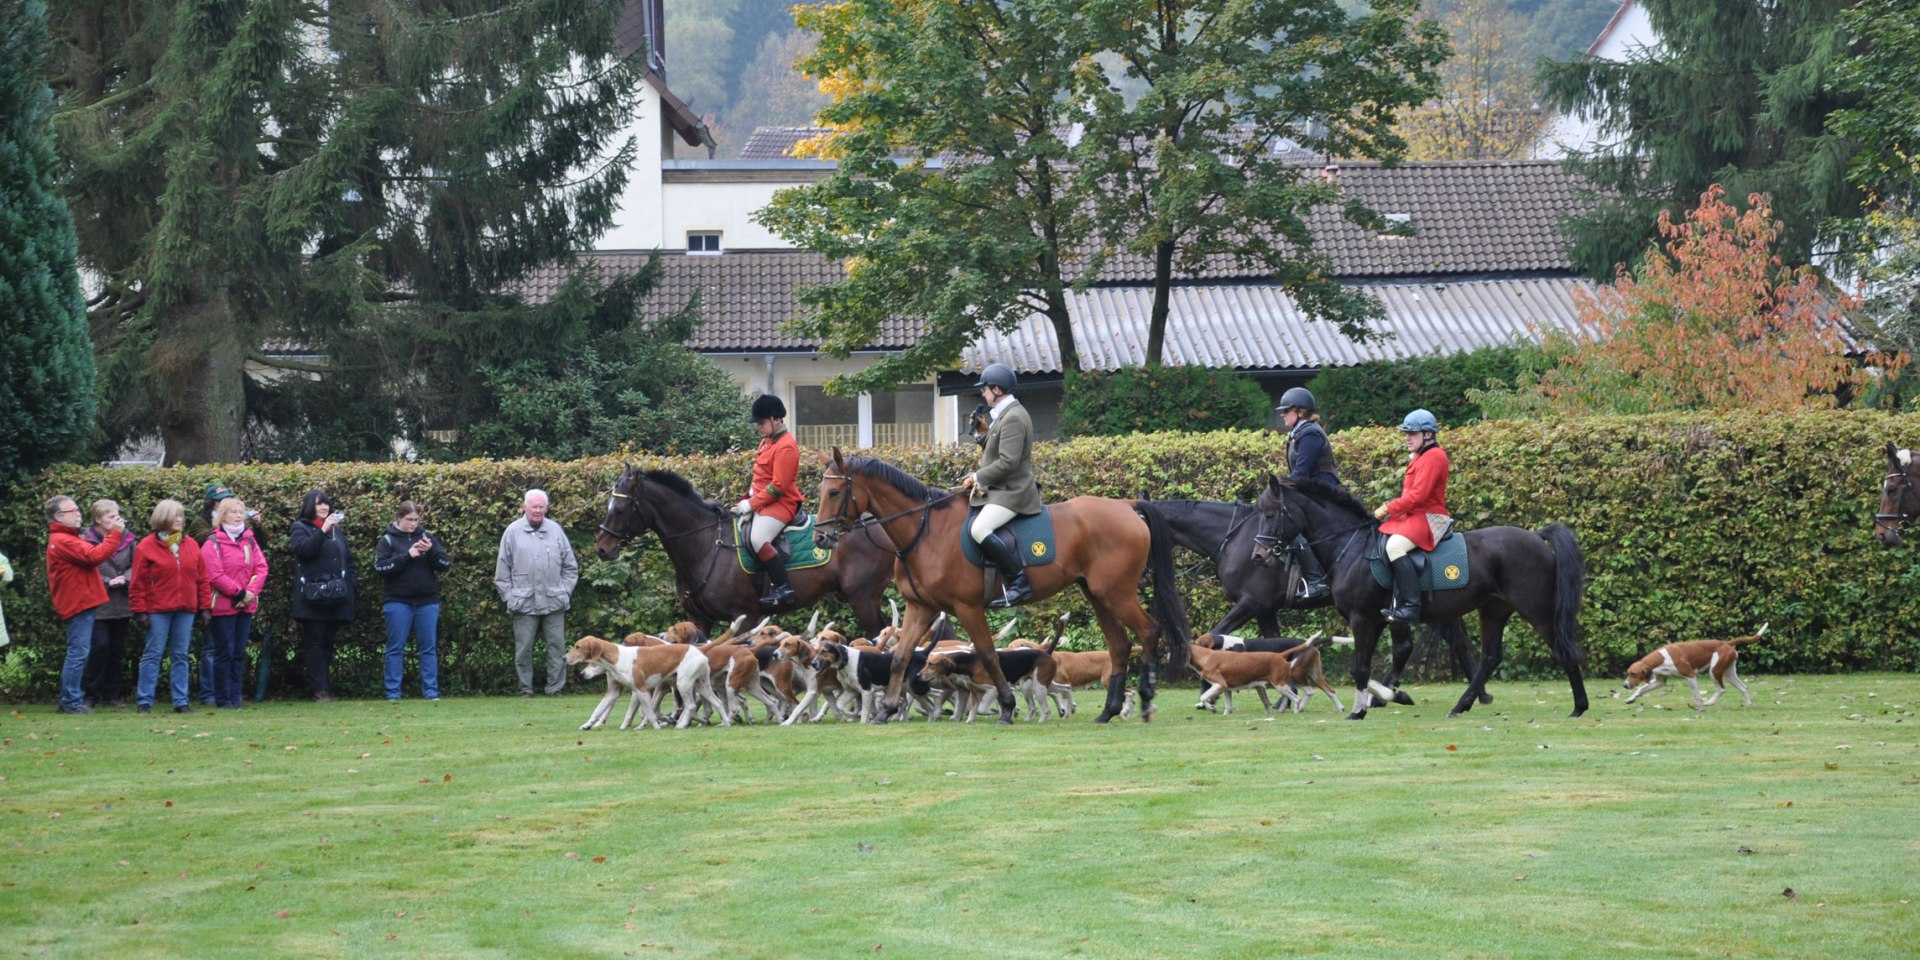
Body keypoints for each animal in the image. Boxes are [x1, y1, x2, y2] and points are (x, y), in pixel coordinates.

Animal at [591, 462, 898, 637]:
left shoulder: (746, 617)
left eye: (620, 508)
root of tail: (875, 524)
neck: (706, 546)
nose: (602, 549)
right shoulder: (698, 619)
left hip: (863, 598)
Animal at [810, 447, 1182, 721]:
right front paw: (886, 710)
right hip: (1097, 594)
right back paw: (1108, 711)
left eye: (834, 492)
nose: (821, 538)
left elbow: (989, 655)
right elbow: (900, 658)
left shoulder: (968, 607)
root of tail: (1125, 506)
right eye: (821, 491)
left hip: (1117, 593)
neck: (926, 531)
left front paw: (1006, 707)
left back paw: (1146, 700)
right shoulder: (920, 606)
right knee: (1119, 644)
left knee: (1148, 631)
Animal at [1244, 476, 1589, 718]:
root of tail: (1536, 536)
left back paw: (1579, 707)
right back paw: (1461, 706)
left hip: (1536, 609)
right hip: (1494, 610)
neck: (1351, 547)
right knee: (1491, 657)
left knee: (1561, 647)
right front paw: (1385, 696)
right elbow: (1373, 664)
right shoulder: (1380, 620)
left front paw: (1362, 709)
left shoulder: (1363, 618)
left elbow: (1361, 668)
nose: (1258, 556)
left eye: (1271, 514)